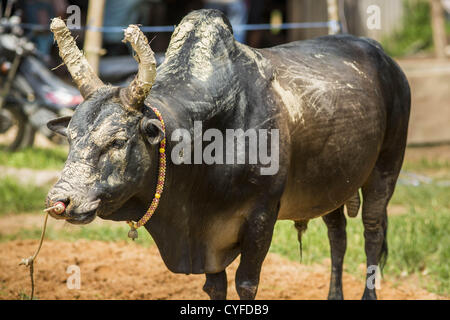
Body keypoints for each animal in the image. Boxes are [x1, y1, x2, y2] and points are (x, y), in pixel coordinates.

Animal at [46, 10, 412, 300]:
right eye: (72, 137)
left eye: (118, 141)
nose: (61, 199)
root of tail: (384, 56)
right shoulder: (207, 239)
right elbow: (215, 287)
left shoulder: (262, 215)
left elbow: (246, 283)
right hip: (331, 185)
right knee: (338, 236)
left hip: (385, 170)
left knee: (372, 234)